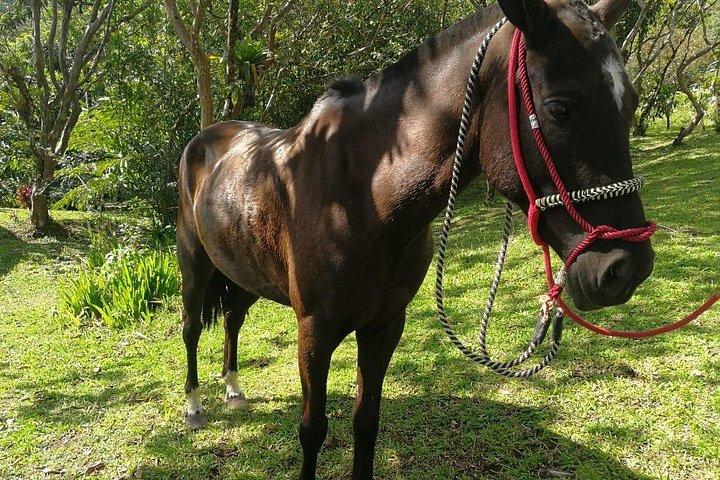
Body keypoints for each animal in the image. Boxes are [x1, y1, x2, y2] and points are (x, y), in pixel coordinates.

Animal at [176, 0, 655, 477]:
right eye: (559, 108)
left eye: (630, 103)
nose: (626, 269)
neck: (362, 197)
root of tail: (205, 139)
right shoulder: (314, 331)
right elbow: (312, 430)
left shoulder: (385, 325)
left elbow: (366, 422)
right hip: (194, 264)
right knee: (192, 328)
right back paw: (195, 407)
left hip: (244, 275)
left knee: (233, 320)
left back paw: (234, 389)